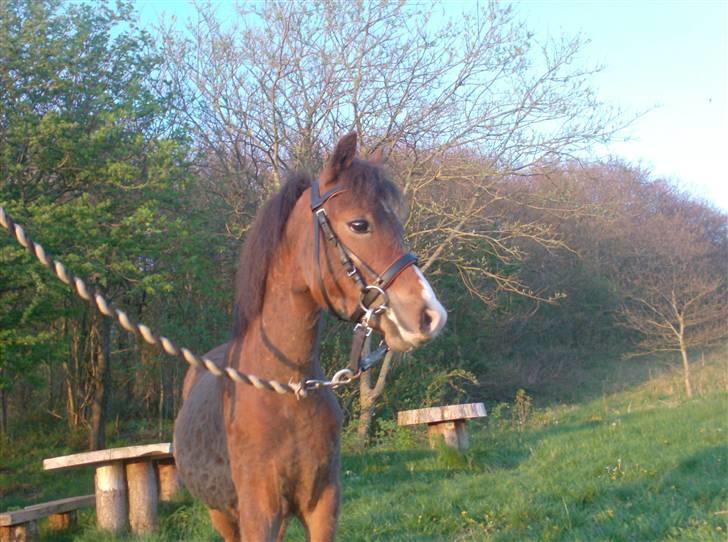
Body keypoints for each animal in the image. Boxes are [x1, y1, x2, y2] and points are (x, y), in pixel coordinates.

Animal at [173, 133, 447, 541]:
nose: (431, 316)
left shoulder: (322, 506)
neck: (287, 390)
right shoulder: (260, 514)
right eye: (359, 224)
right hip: (221, 514)